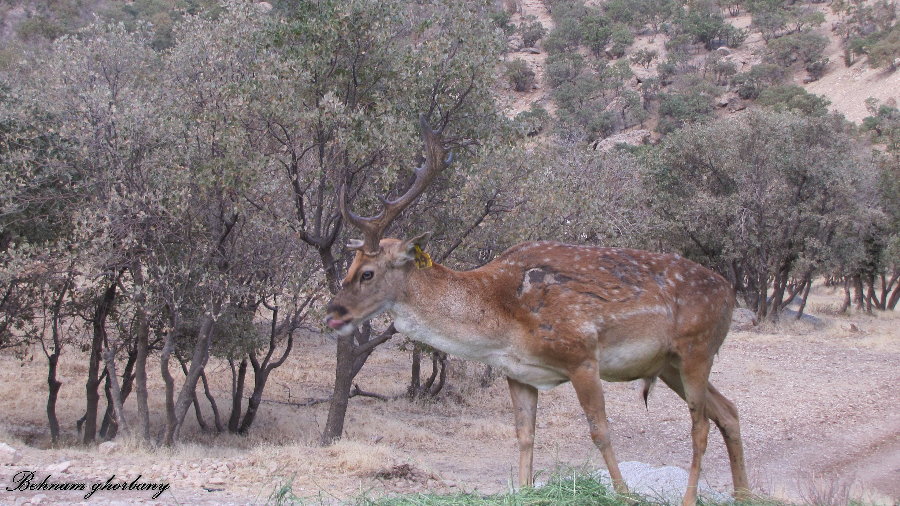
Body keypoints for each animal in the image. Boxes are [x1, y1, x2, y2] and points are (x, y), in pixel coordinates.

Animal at [325, 116, 750, 506]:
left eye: (367, 273)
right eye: (348, 266)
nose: (333, 313)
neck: (499, 320)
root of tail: (730, 293)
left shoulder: (582, 355)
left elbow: (600, 430)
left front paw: (624, 494)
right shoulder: (519, 373)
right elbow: (525, 435)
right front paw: (527, 488)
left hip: (697, 348)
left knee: (700, 425)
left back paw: (692, 498)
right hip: (668, 364)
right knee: (728, 411)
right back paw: (745, 494)